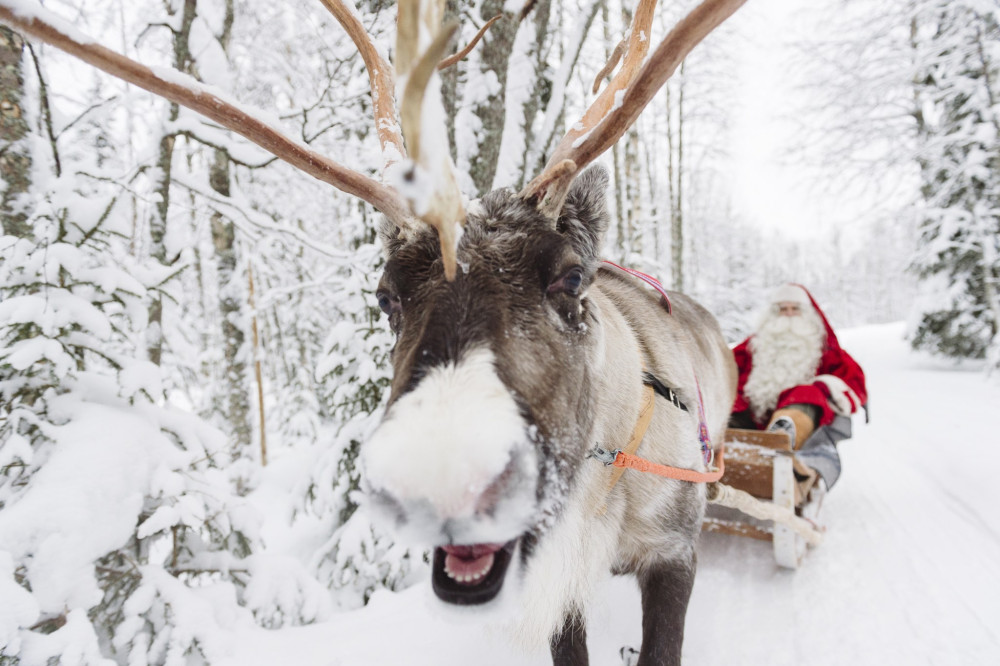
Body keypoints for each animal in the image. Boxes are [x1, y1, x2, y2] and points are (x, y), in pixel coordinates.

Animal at [0, 0, 746, 662]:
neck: (602, 481)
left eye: (569, 278)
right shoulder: (556, 586)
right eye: (385, 295)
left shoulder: (674, 551)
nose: (442, 484)